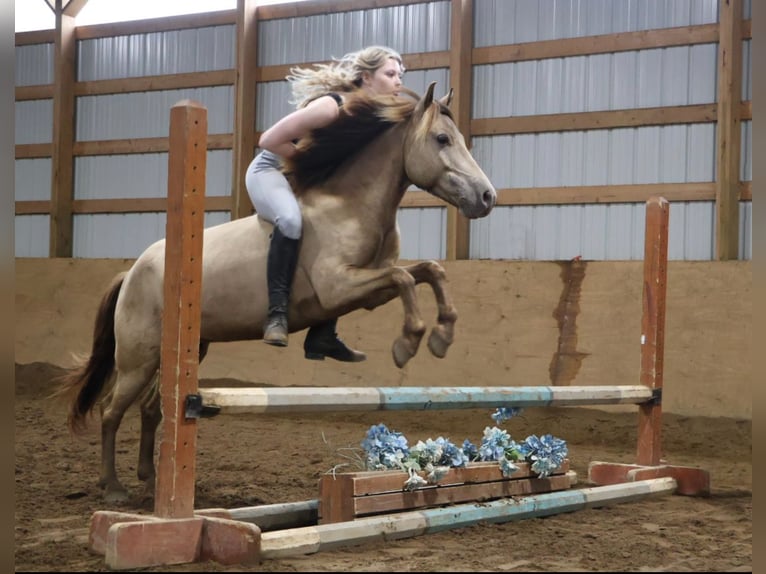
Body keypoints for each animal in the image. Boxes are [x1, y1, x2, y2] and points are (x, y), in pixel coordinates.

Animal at [60, 82, 497, 502]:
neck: (351, 203)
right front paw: (409, 344)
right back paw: (114, 488)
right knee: (112, 411)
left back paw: (151, 482)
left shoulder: (367, 286)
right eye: (442, 139)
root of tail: (133, 270)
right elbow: (406, 280)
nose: (487, 197)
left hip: (187, 349)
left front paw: (442, 336)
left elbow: (429, 272)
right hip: (138, 358)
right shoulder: (340, 286)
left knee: (153, 410)